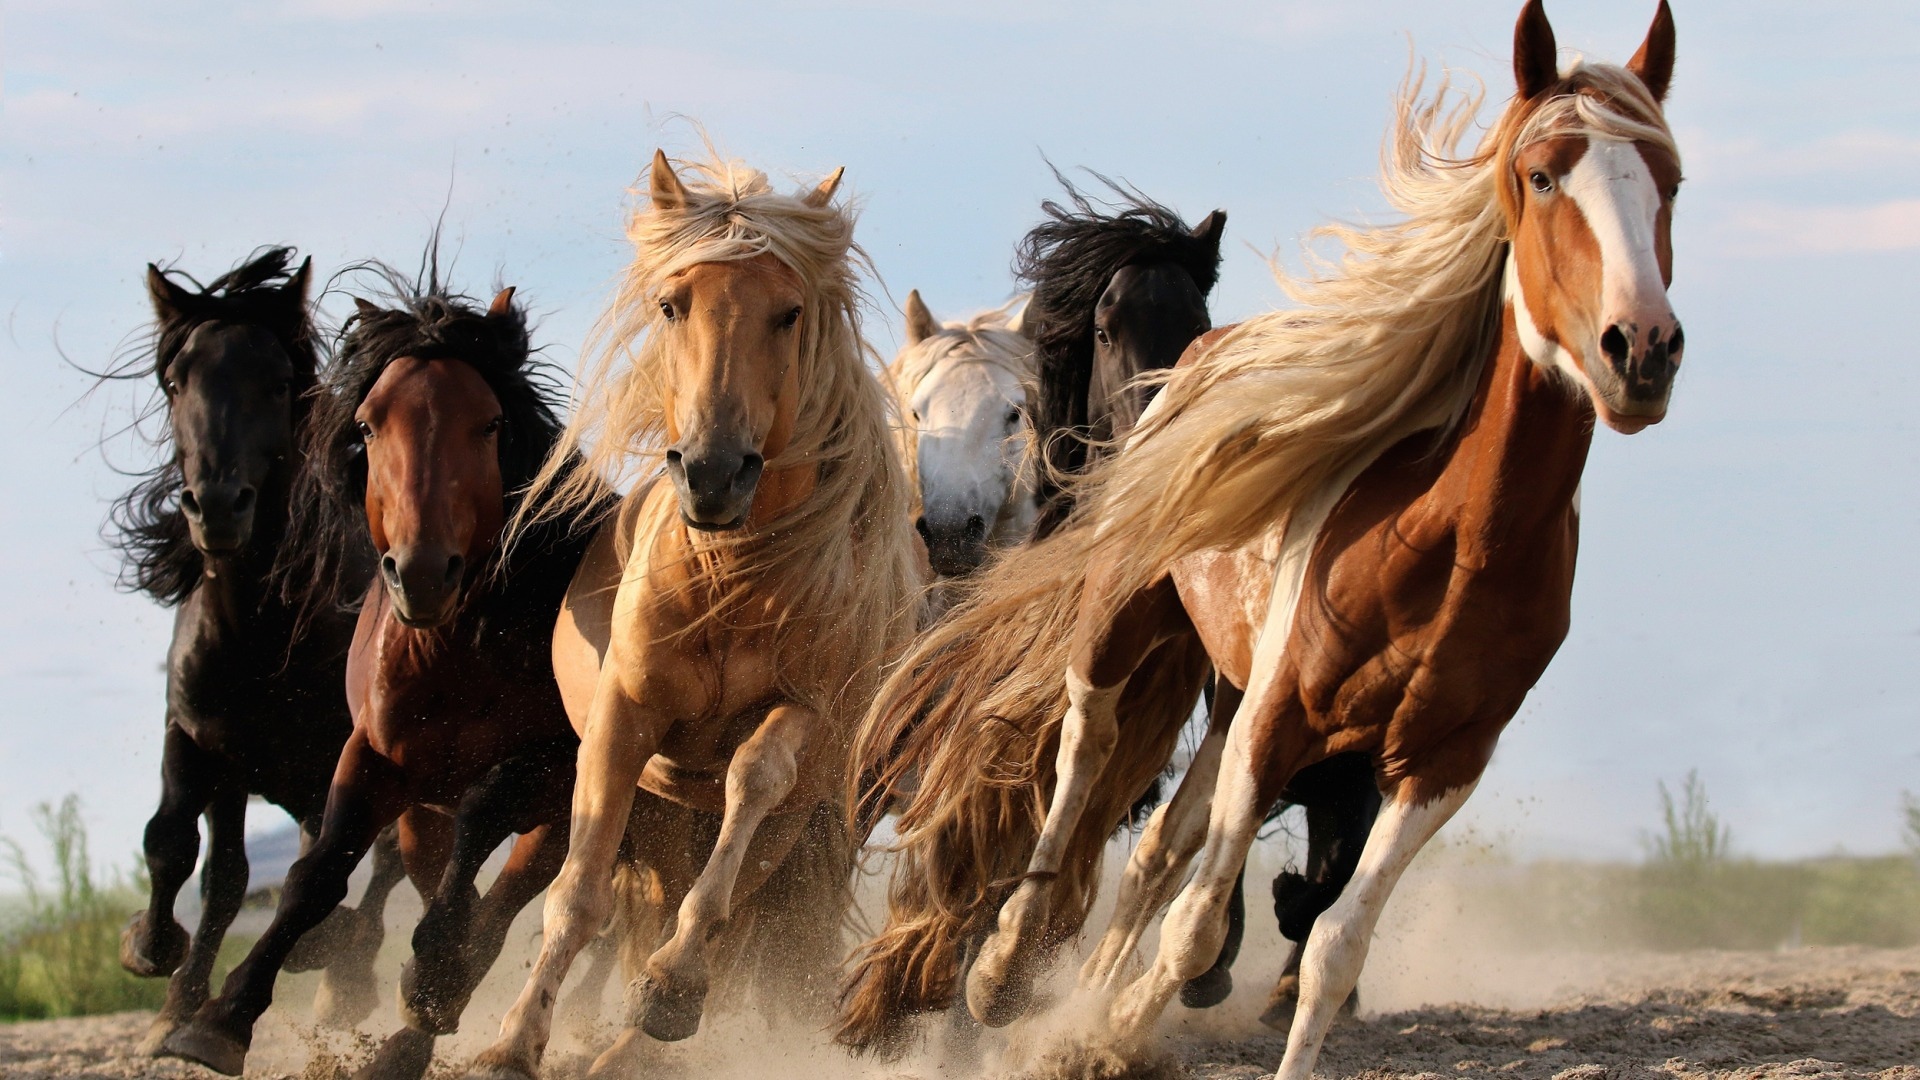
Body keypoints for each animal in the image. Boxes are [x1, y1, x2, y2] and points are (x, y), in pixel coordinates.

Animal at [107, 244, 403, 1053]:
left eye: (278, 382)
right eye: (177, 381)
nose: (217, 507)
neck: (260, 634)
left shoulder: (345, 754)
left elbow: (335, 862)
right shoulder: (203, 740)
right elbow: (185, 850)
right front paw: (160, 969)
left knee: (385, 864)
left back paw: (342, 976)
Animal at [462, 148, 913, 1076]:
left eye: (788, 312)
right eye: (673, 304)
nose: (710, 473)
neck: (730, 583)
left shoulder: (804, 718)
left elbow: (751, 785)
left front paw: (672, 985)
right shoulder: (624, 717)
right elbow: (578, 894)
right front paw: (512, 1044)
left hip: (792, 824)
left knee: (731, 914)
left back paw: (650, 1021)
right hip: (670, 815)